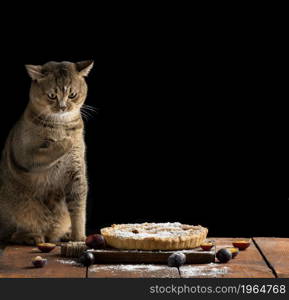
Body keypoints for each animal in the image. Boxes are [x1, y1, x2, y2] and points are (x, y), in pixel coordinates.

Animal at [0, 59, 93, 245]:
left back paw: (64, 234)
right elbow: (49, 150)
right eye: (52, 96)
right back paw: (32, 237)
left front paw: (78, 237)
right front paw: (67, 141)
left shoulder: (77, 173)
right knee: (11, 235)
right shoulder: (25, 156)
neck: (61, 125)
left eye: (72, 95)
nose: (62, 107)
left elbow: (78, 210)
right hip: (18, 211)